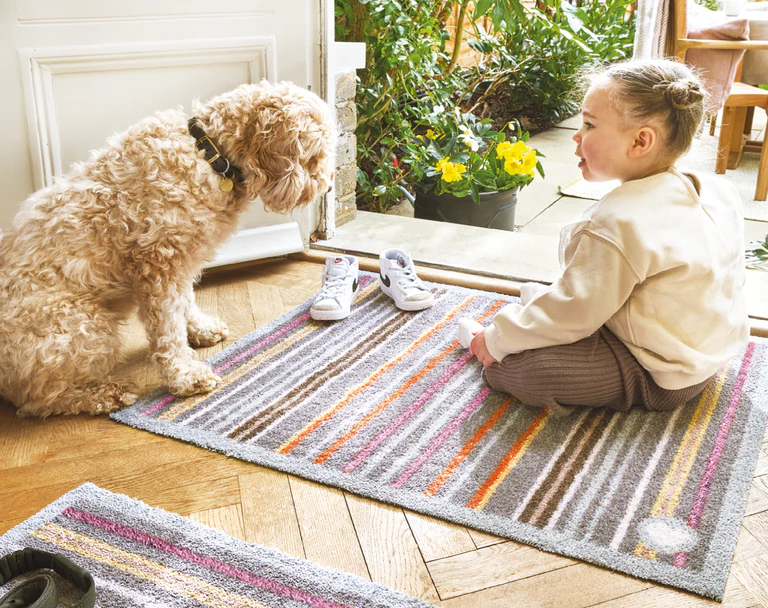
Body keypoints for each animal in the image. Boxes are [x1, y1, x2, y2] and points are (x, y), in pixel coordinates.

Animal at [0, 81, 336, 418]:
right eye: (314, 154)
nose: (329, 186)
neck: (208, 153)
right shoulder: (159, 267)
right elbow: (168, 329)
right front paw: (186, 374)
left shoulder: (182, 260)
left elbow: (185, 303)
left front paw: (199, 330)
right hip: (83, 326)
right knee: (38, 399)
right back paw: (104, 394)